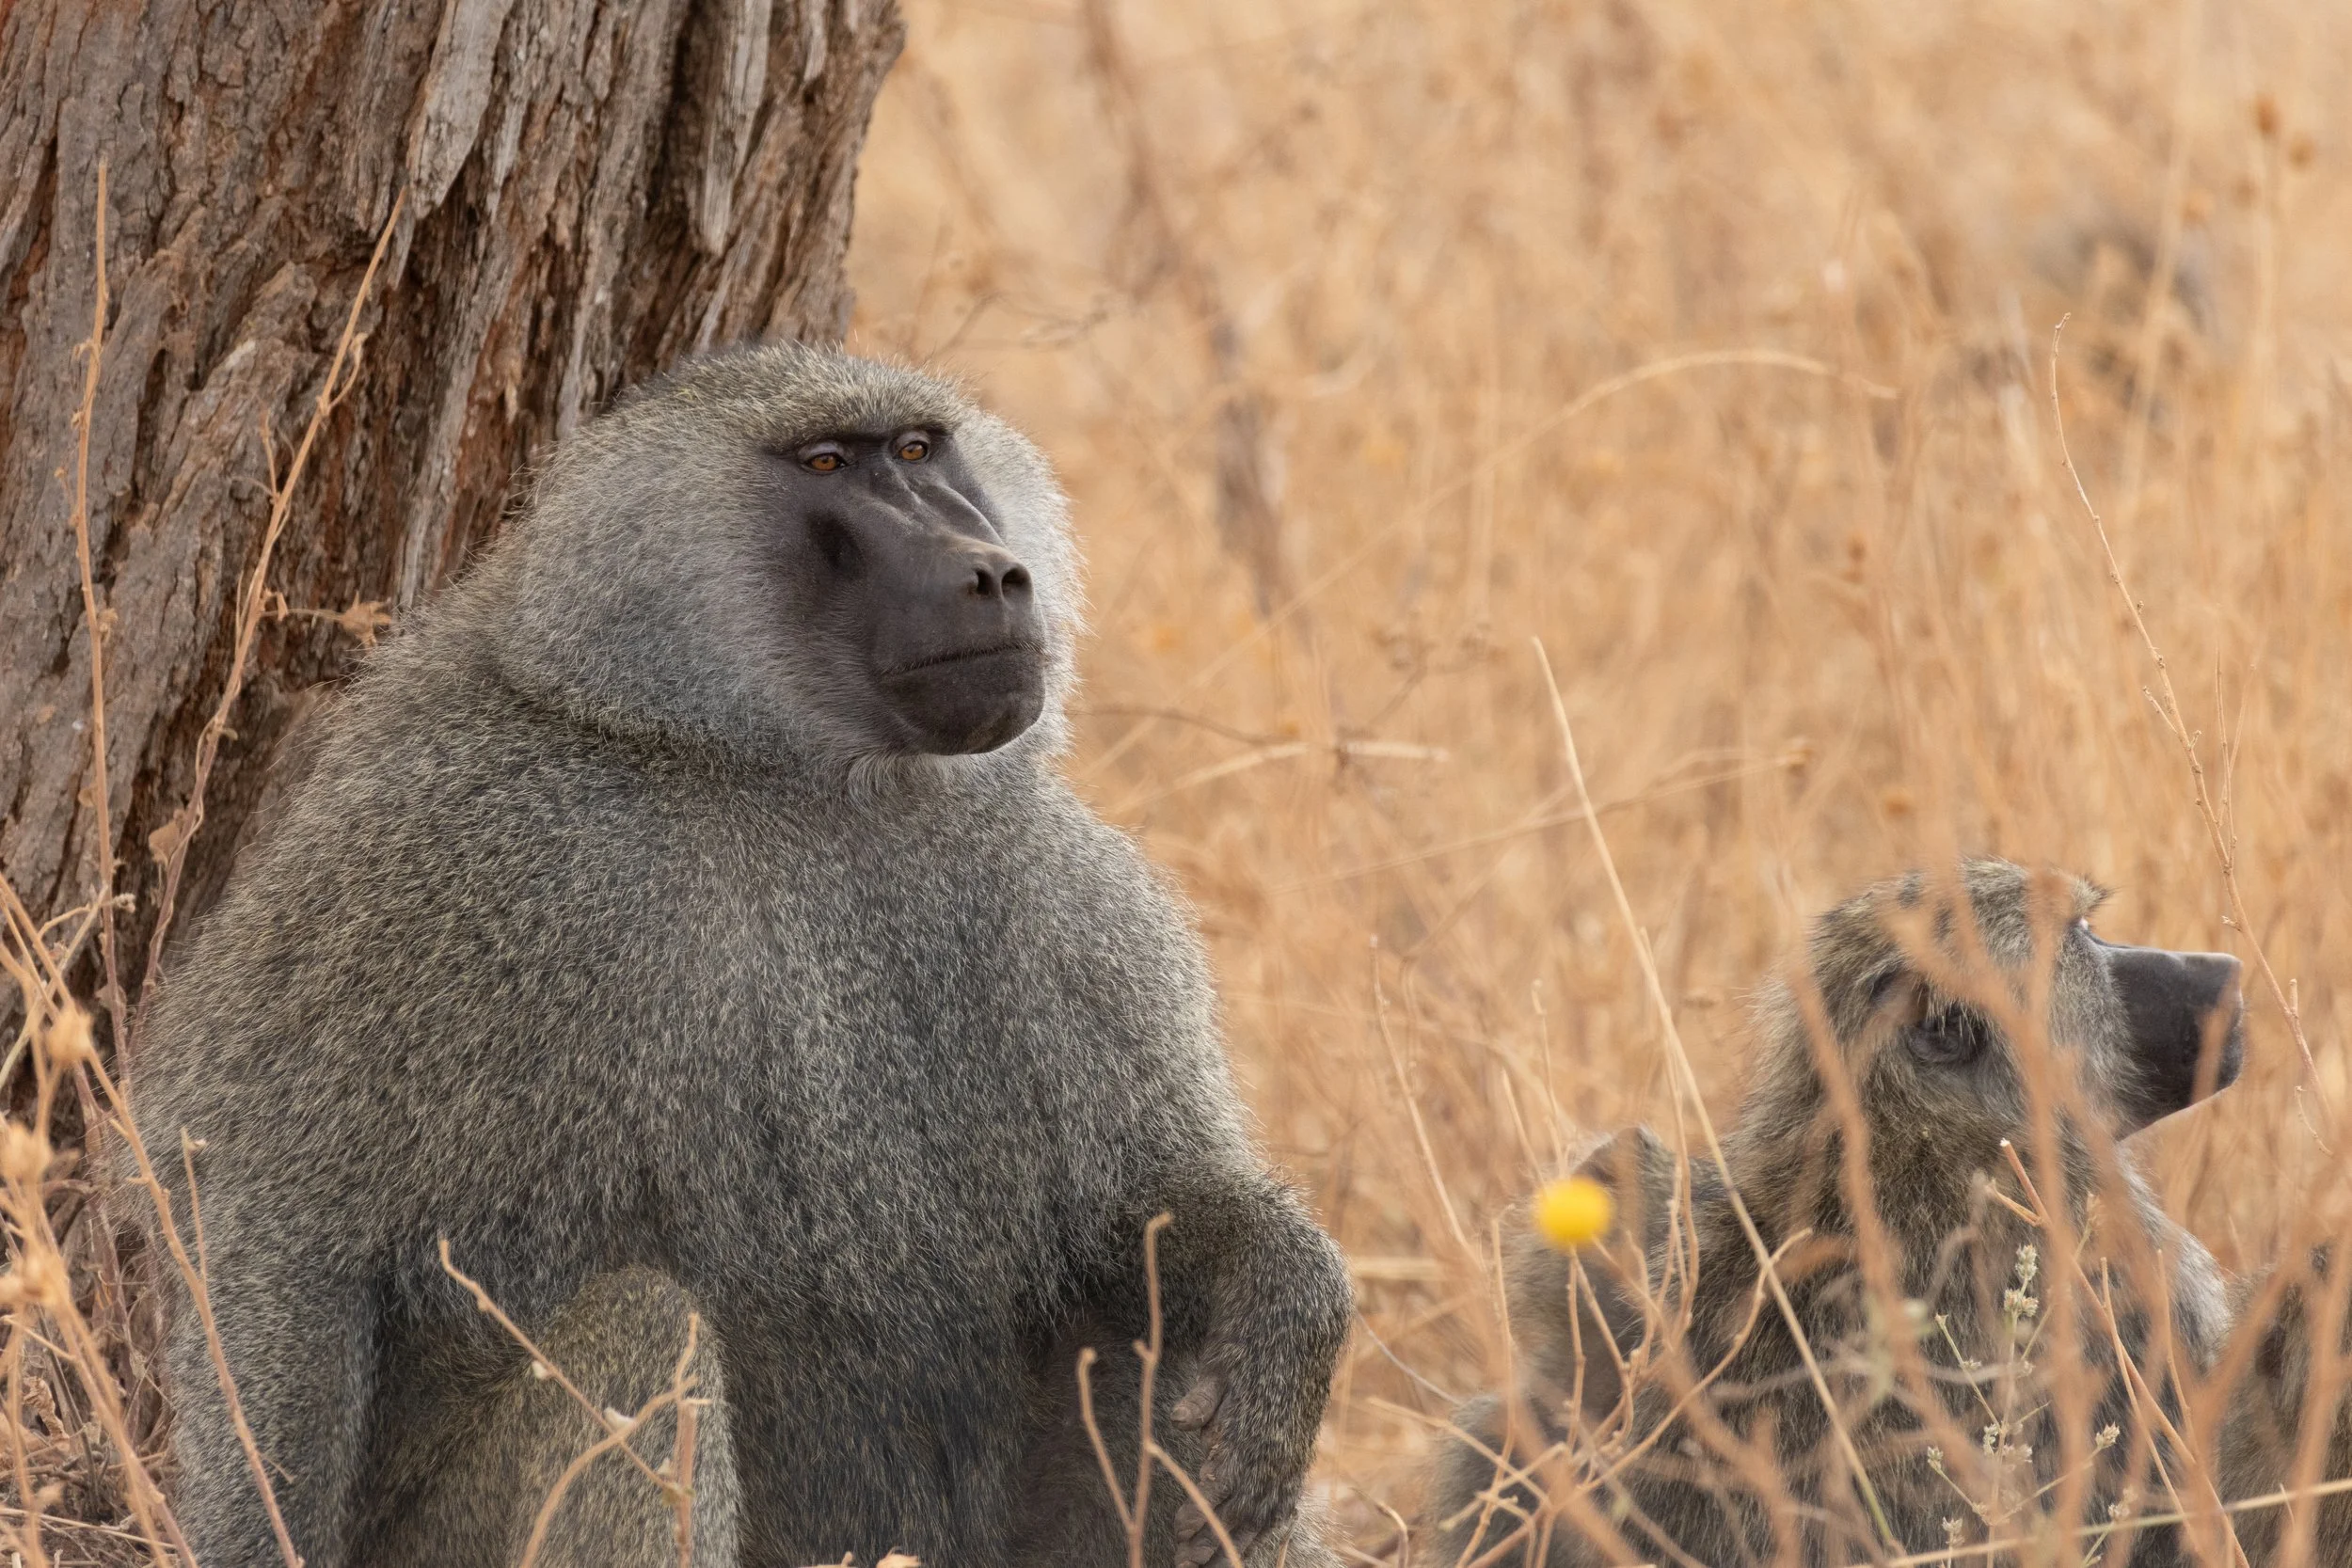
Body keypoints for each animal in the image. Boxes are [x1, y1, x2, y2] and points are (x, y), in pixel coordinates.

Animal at [128, 342, 1353, 1568]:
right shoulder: (437, 856)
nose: (993, 574)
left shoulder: (1064, 895)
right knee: (639, 1319)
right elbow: (272, 1214)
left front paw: (1286, 1301)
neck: (781, 769)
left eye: (919, 448)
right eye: (827, 464)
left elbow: (1138, 1207)